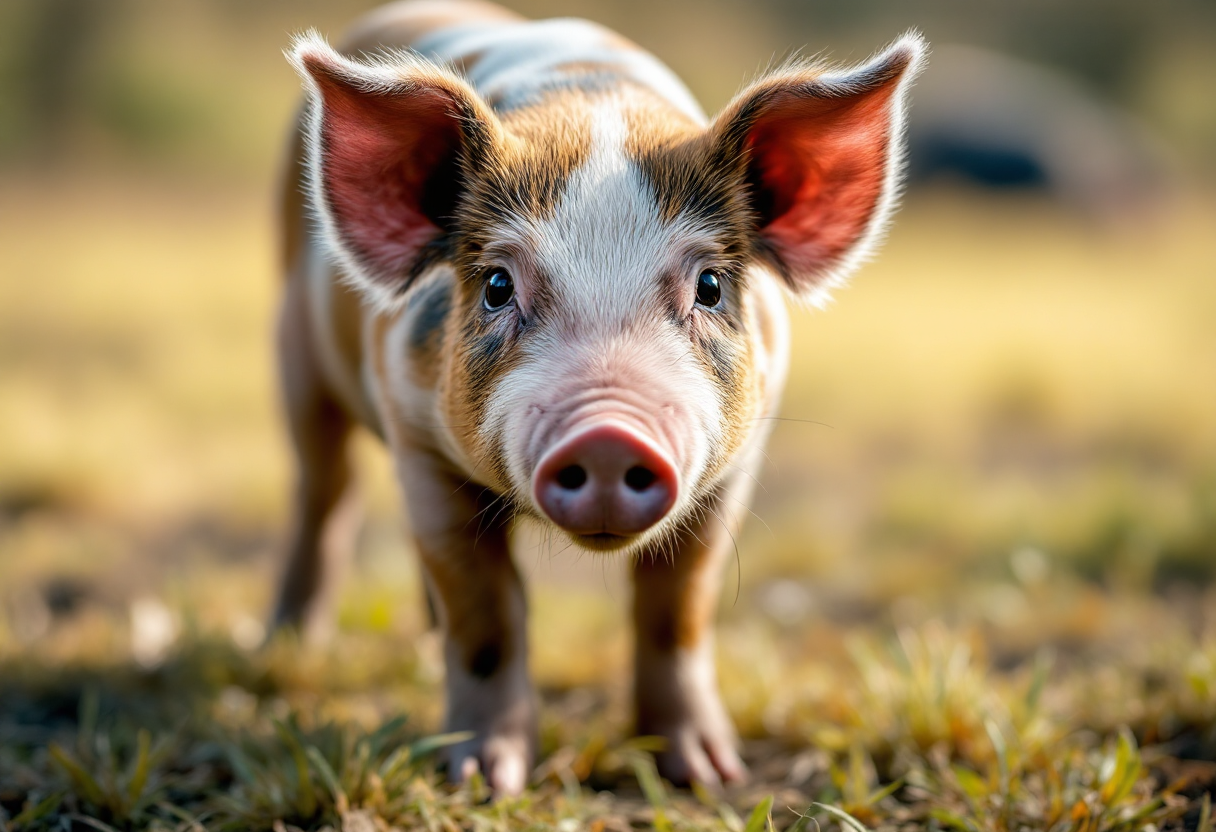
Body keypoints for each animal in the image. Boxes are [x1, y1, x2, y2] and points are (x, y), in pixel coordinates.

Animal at [273, 0, 919, 793]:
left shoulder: (735, 468)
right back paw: (286, 645)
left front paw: (708, 775)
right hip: (295, 359)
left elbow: (678, 608)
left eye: (710, 286)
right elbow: (485, 614)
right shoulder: (416, 437)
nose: (608, 435)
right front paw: (487, 780)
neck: (594, 111)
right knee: (325, 492)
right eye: (497, 286)